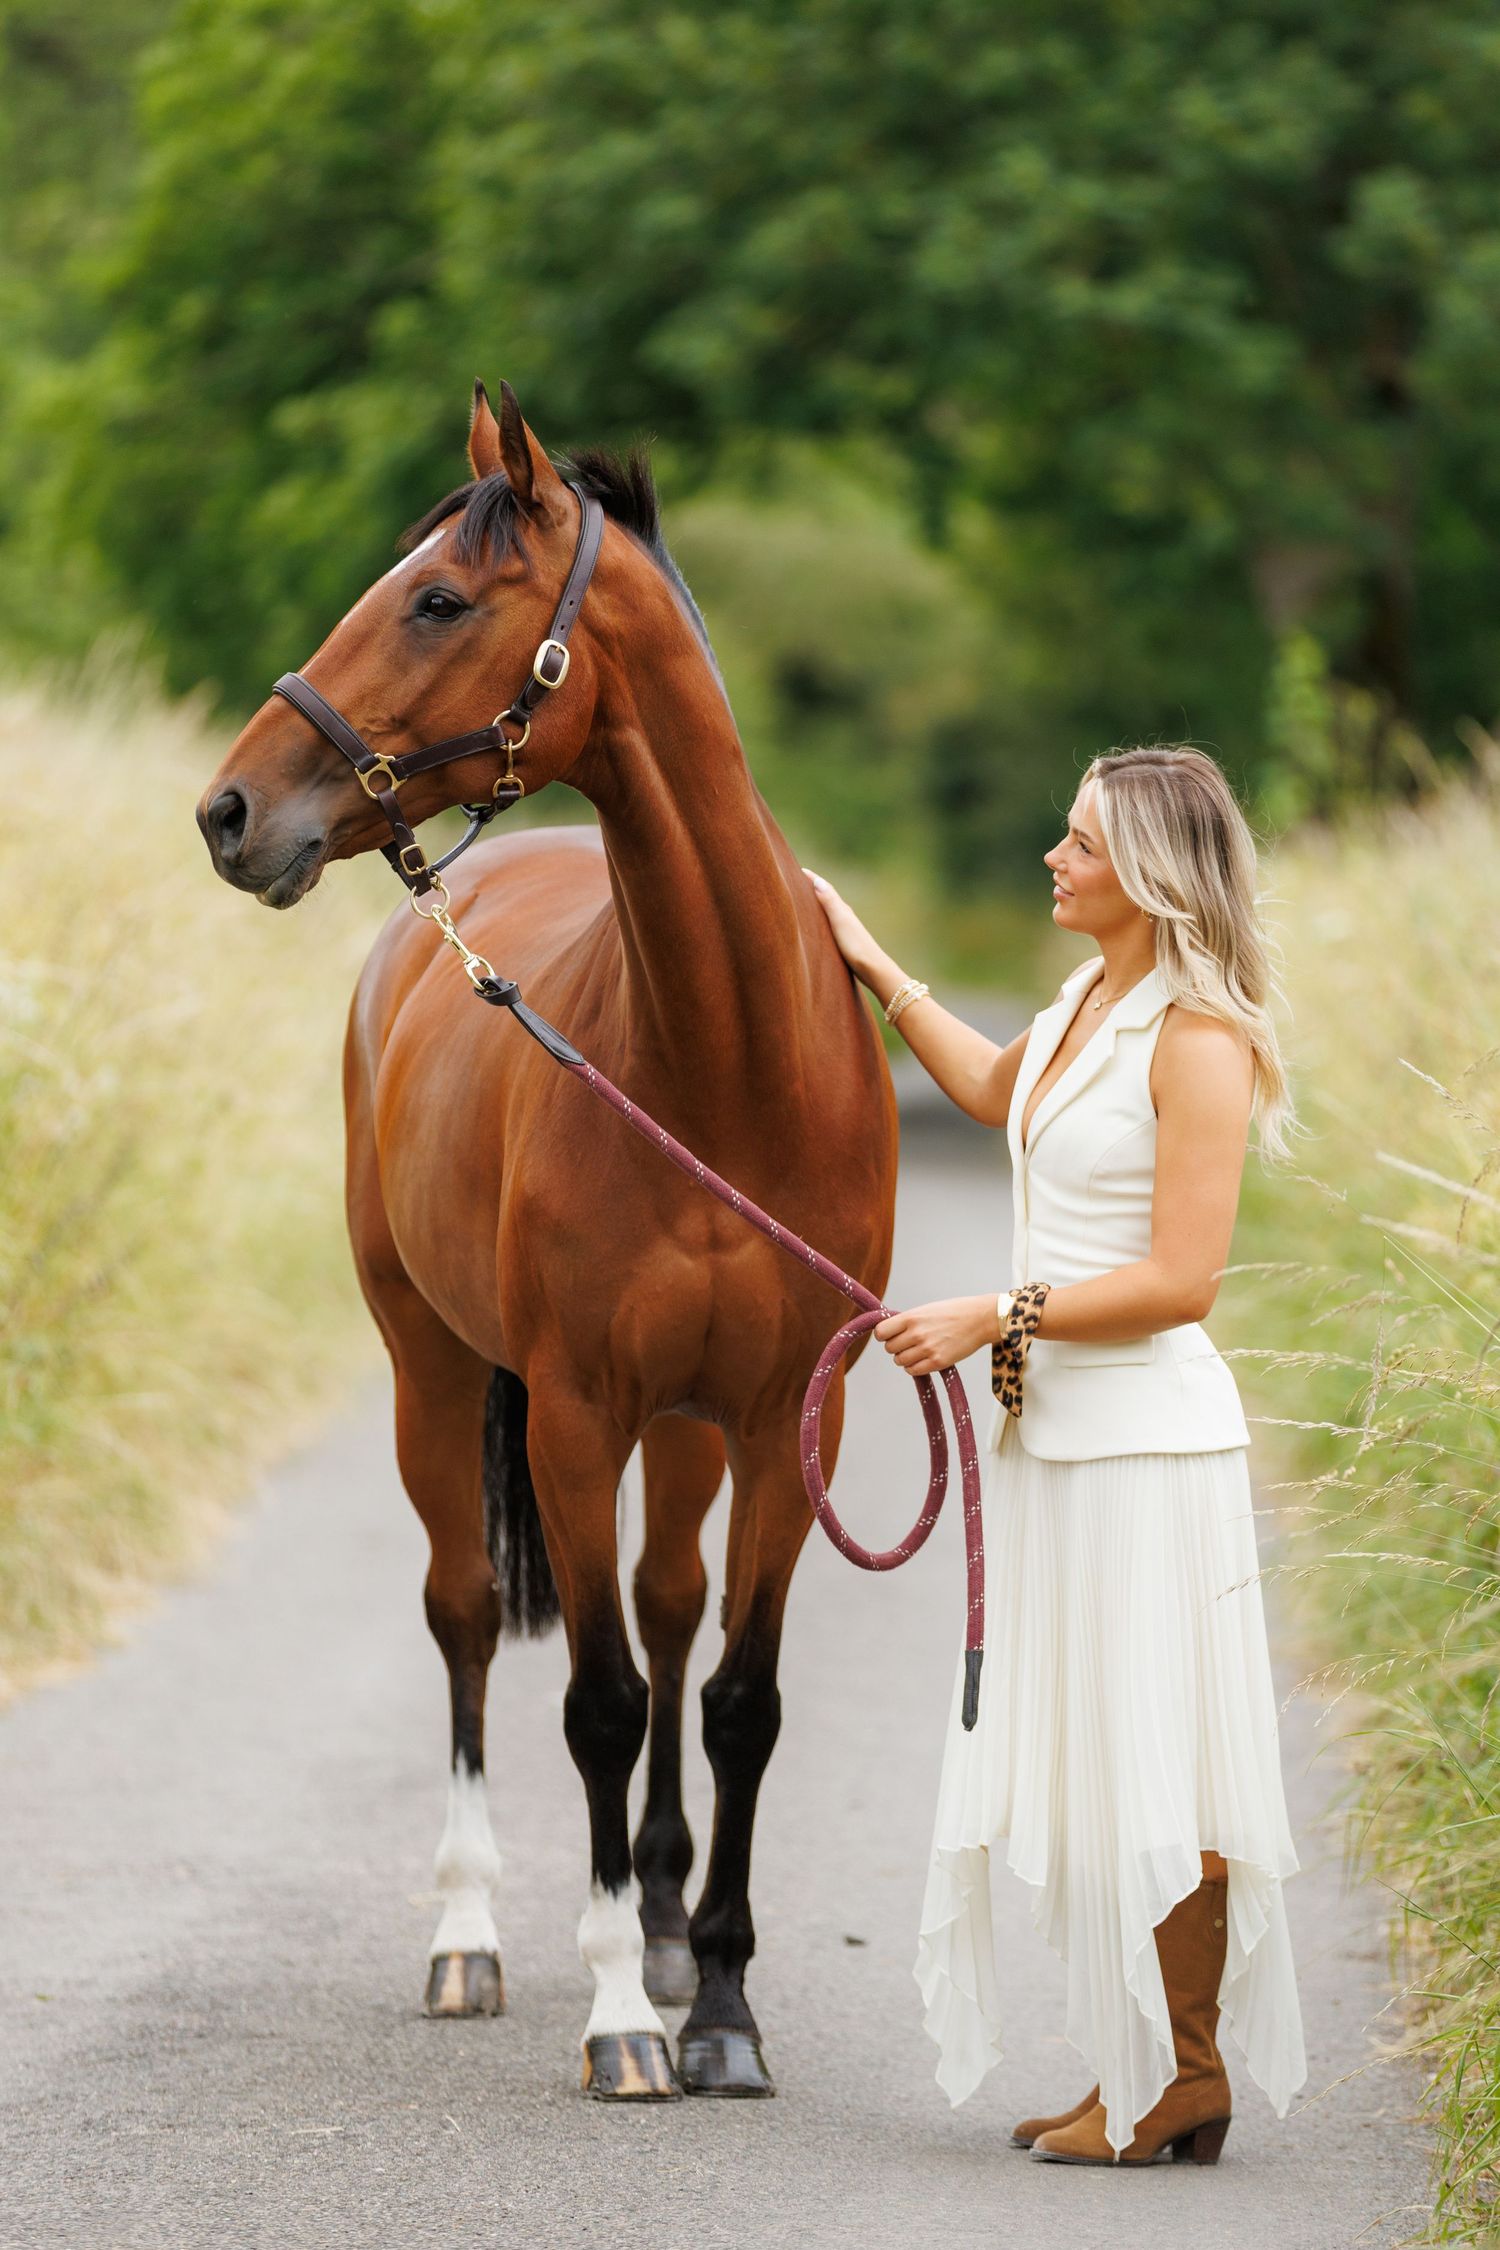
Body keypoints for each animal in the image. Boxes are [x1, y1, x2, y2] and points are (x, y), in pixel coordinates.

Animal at [196, 379, 898, 2100]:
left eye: (441, 598)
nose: (231, 811)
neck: (723, 1065)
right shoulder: (576, 1414)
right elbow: (594, 1698)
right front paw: (622, 2019)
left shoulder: (786, 1418)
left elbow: (735, 1695)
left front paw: (718, 2003)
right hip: (433, 1373)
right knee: (464, 1612)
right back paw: (472, 1937)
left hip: (687, 1428)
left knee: (667, 1602)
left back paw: (659, 1913)